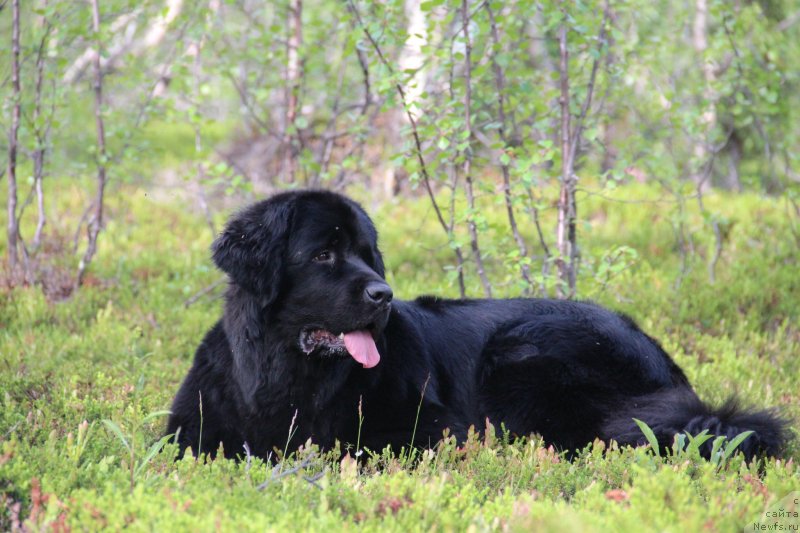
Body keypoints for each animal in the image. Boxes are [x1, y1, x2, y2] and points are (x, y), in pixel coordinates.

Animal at [169, 189, 788, 460]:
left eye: (369, 256)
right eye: (324, 254)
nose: (383, 295)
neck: (286, 373)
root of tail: (658, 352)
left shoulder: (428, 427)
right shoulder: (191, 428)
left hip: (522, 352)